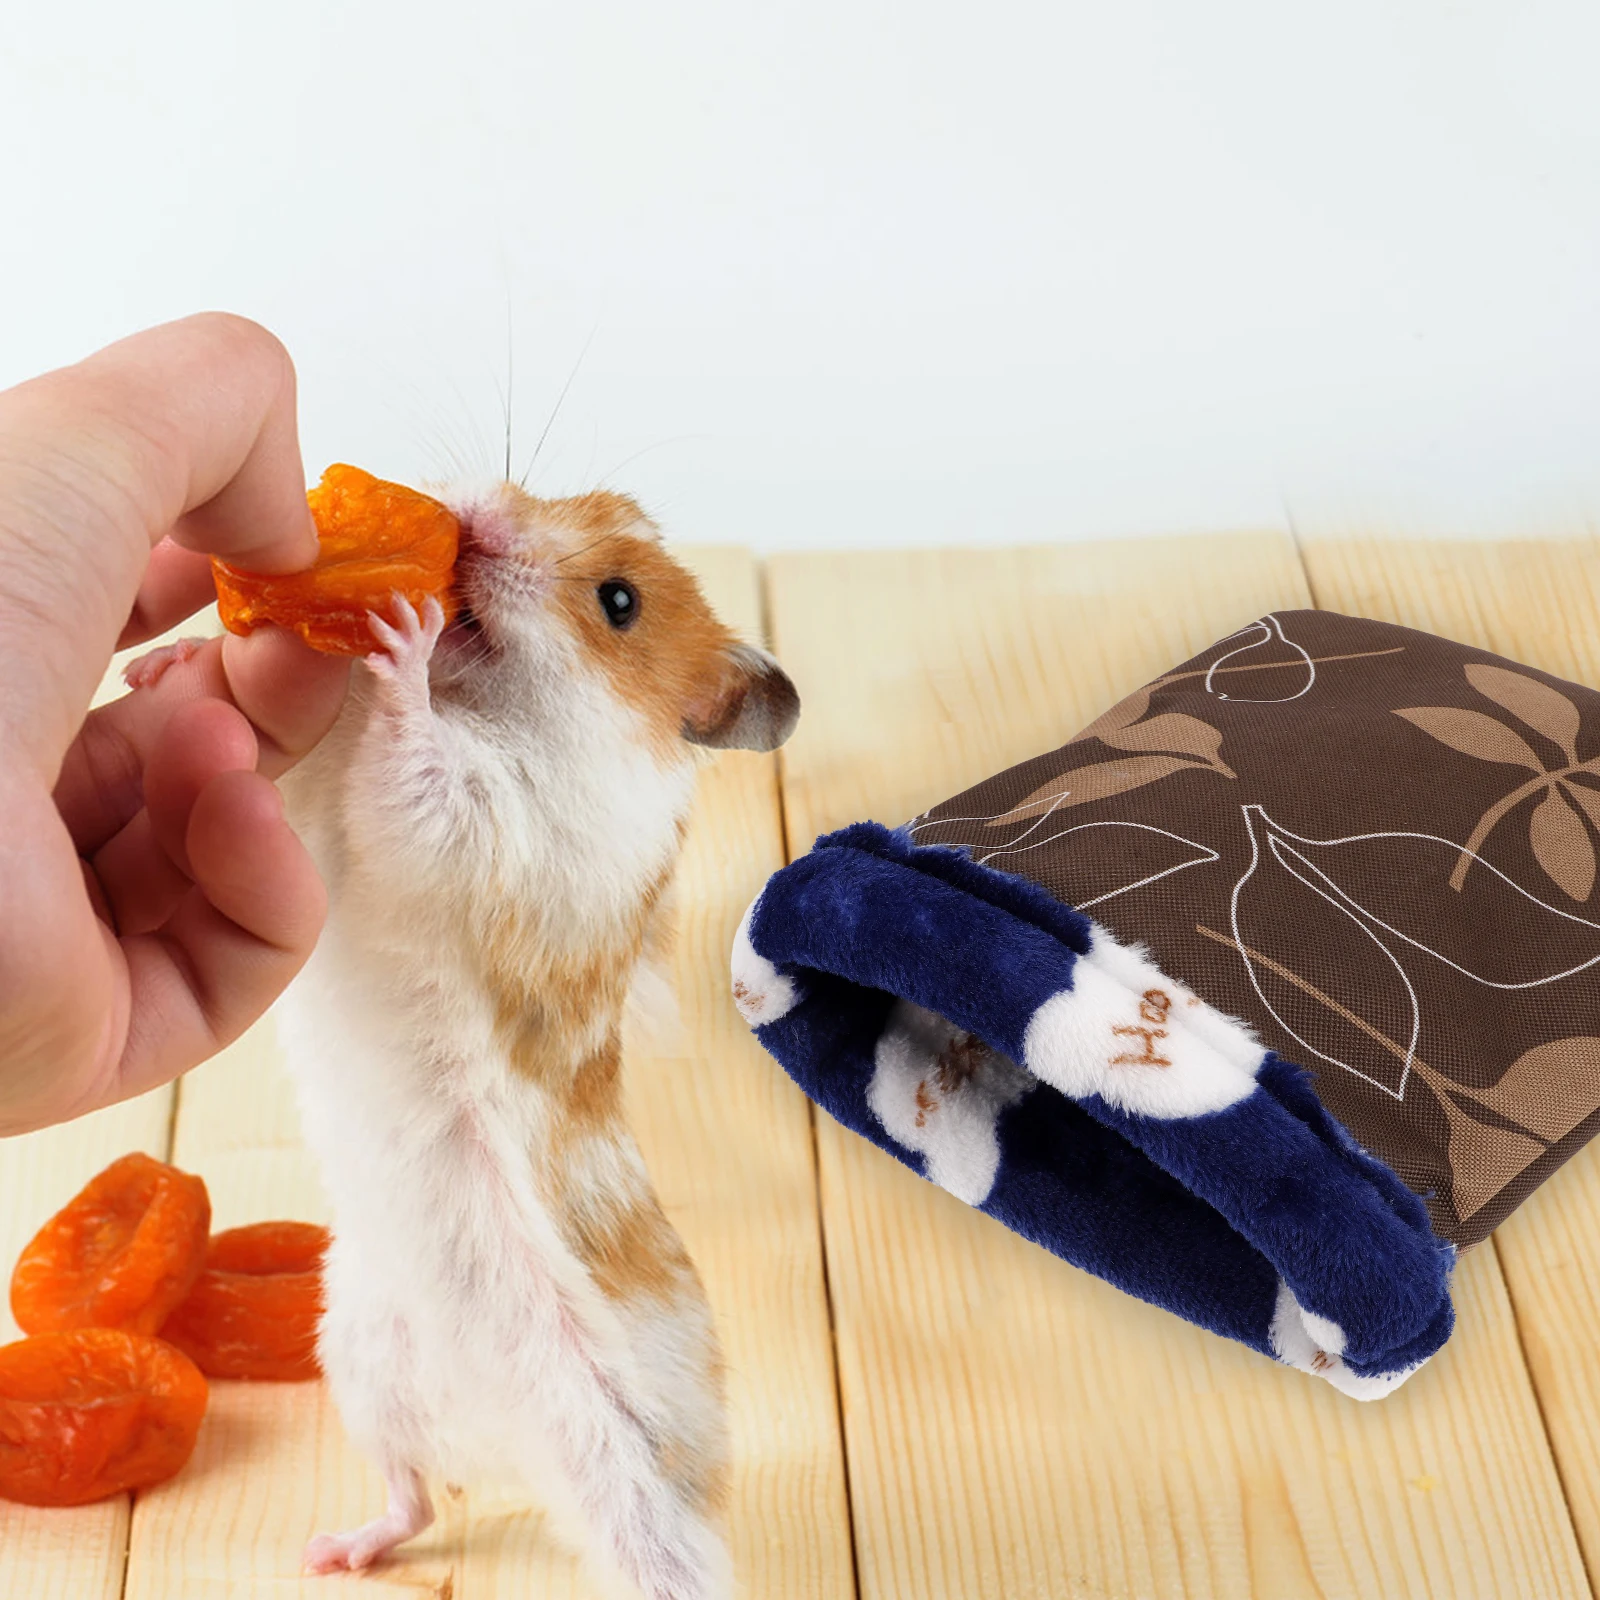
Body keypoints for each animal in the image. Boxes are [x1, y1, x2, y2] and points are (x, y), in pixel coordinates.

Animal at [253, 482, 795, 1597]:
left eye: (619, 601)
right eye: (578, 497)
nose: (476, 516)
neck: (496, 700)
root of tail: (508, 1460)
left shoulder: (492, 832)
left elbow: (414, 767)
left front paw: (404, 644)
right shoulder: (325, 803)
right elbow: (316, 765)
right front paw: (163, 666)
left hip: (618, 1454)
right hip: (366, 1348)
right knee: (417, 1494)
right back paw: (334, 1551)